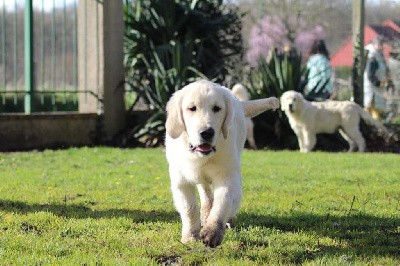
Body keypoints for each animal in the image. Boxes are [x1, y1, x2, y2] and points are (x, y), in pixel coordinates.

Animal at [164, 79, 280, 247]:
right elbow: (189, 209)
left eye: (217, 109)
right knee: (205, 191)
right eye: (192, 108)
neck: (202, 156)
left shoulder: (228, 176)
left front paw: (213, 232)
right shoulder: (181, 181)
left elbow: (222, 202)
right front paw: (190, 236)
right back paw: (205, 212)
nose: (207, 133)